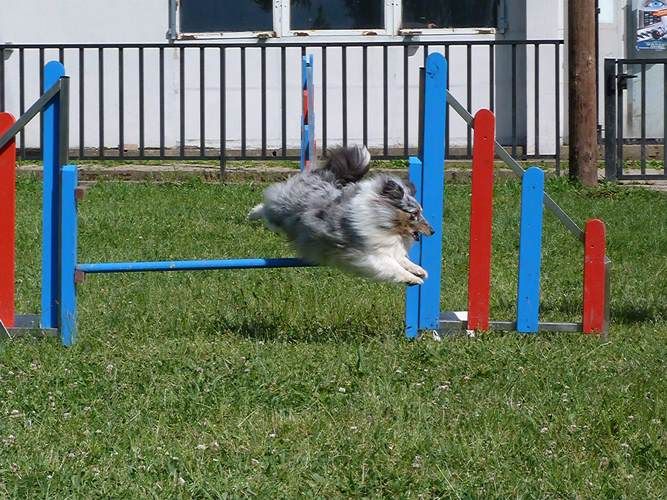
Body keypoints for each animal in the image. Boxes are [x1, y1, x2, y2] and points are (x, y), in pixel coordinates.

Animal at [248, 145, 436, 286]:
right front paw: (413, 279)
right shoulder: (370, 255)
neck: (383, 221)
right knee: (268, 206)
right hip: (280, 212)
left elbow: (402, 260)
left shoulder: (388, 248)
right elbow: (393, 267)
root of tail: (324, 176)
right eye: (414, 214)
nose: (433, 231)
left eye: (421, 212)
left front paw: (419, 270)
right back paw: (252, 213)